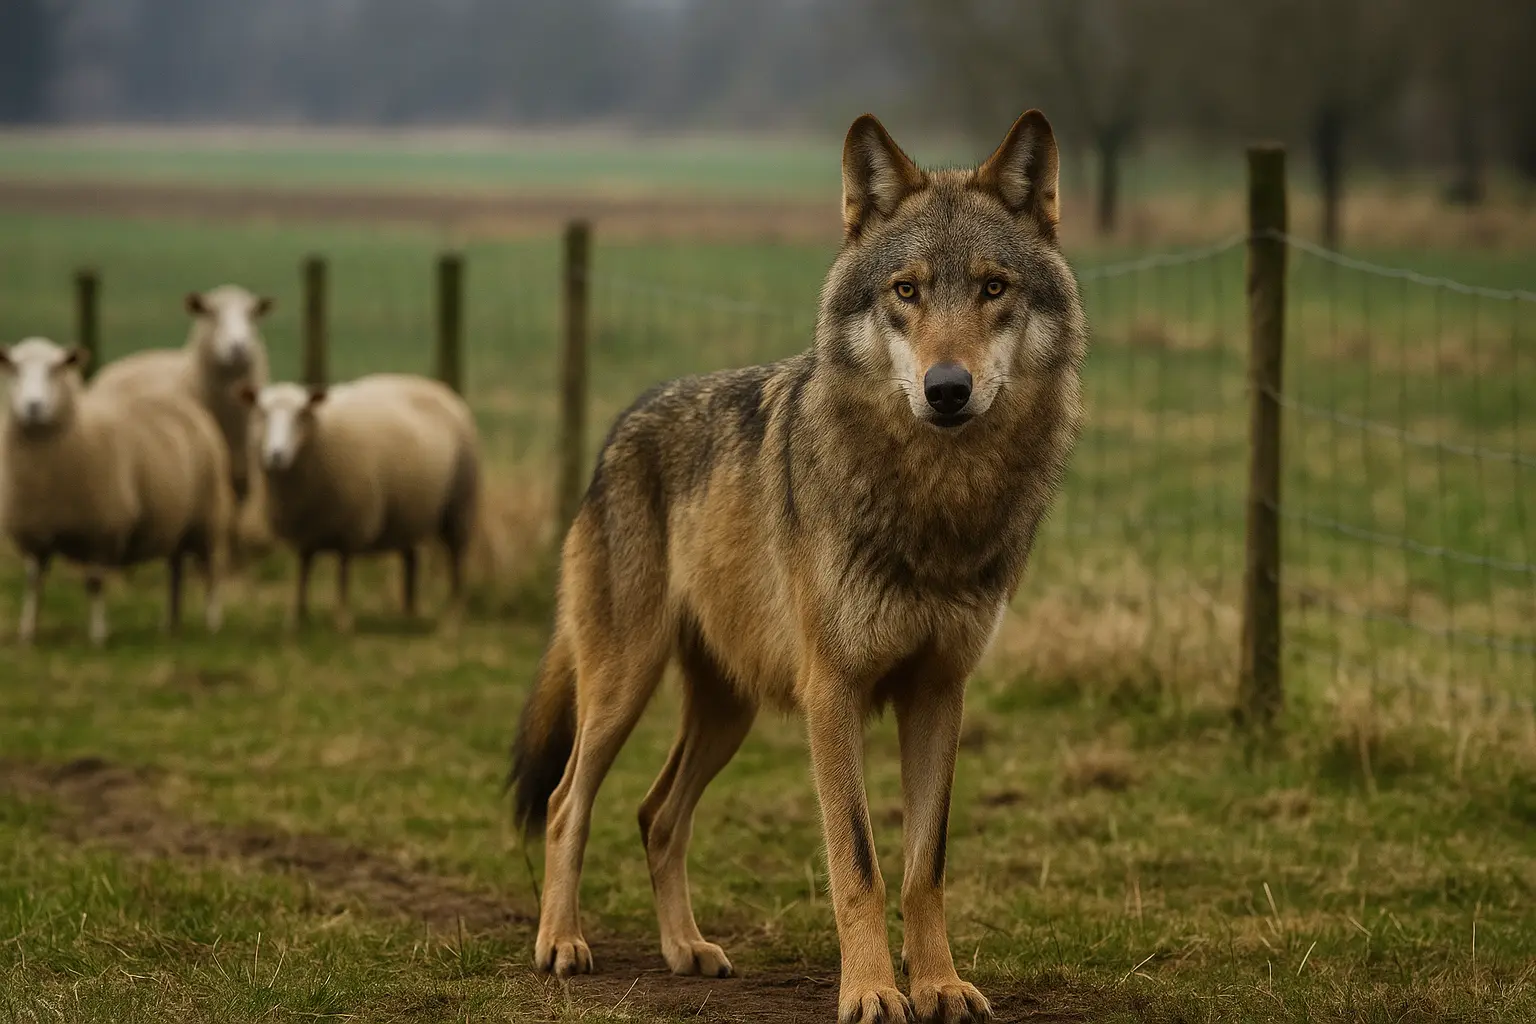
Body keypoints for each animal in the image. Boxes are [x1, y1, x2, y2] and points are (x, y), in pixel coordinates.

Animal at [508, 110, 1086, 1024]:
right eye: (906, 291)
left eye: (994, 289)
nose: (947, 388)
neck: (935, 503)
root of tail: (620, 429)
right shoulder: (833, 693)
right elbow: (859, 862)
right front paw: (873, 992)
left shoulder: (940, 692)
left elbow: (924, 867)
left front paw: (939, 985)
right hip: (623, 687)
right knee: (570, 803)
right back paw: (561, 943)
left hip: (727, 713)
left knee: (656, 814)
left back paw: (687, 949)